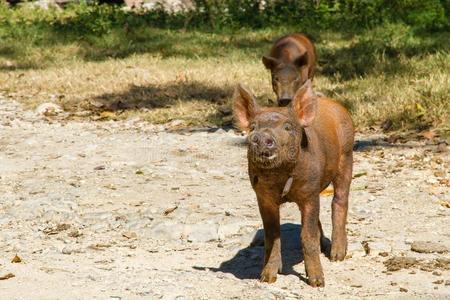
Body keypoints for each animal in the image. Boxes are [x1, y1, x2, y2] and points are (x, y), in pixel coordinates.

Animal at [234, 79, 354, 286]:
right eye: (253, 127)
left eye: (288, 127)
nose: (261, 137)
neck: (280, 177)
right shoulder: (263, 197)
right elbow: (271, 235)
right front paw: (267, 278)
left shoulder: (310, 191)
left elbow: (307, 235)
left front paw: (317, 283)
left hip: (347, 155)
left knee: (339, 201)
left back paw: (337, 256)